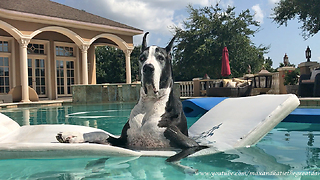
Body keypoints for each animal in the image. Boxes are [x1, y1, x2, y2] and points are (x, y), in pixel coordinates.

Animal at [57, 32, 208, 162]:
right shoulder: (123, 141)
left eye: (161, 58)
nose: (148, 68)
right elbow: (101, 133)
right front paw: (72, 135)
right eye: (142, 58)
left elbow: (175, 157)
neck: (150, 102)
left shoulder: (190, 144)